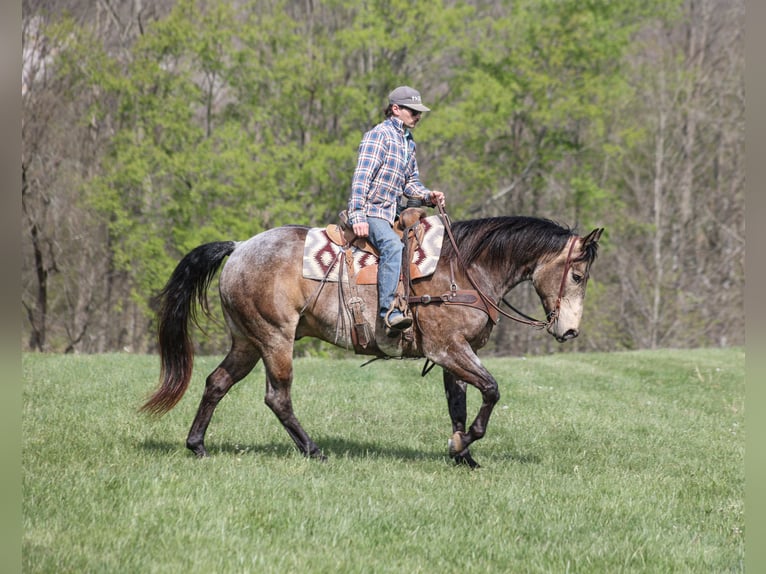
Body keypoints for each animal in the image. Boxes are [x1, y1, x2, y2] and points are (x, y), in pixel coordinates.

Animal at [141, 213, 603, 468]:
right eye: (578, 275)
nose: (569, 331)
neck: (465, 269)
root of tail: (238, 248)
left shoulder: (454, 354)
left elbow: (458, 404)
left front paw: (462, 454)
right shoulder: (448, 349)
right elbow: (490, 390)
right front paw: (464, 444)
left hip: (246, 342)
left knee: (216, 383)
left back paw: (198, 446)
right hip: (274, 339)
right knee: (277, 397)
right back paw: (314, 451)